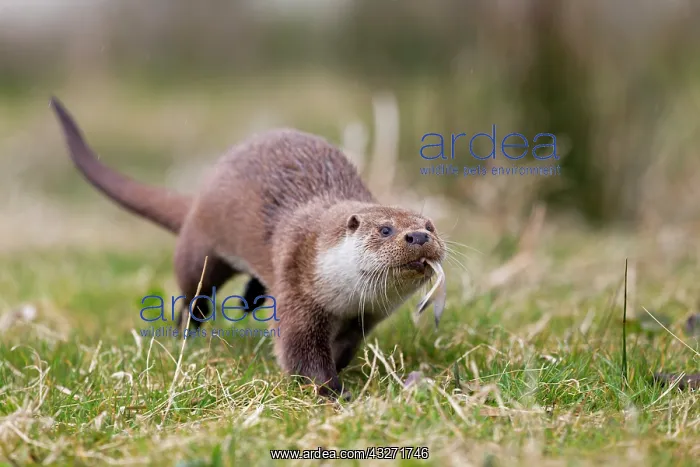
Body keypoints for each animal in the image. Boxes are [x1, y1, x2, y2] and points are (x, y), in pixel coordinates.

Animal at [50, 97, 446, 398]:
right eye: (386, 229)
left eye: (430, 226)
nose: (419, 237)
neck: (343, 298)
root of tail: (200, 198)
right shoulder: (297, 288)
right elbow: (302, 354)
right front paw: (333, 391)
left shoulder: (360, 320)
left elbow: (342, 349)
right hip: (199, 250)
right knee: (193, 292)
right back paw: (186, 335)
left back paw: (249, 300)